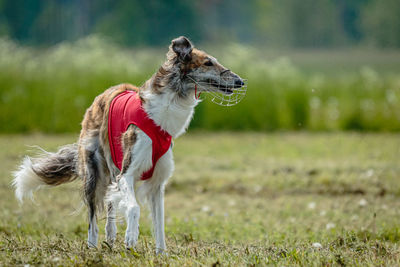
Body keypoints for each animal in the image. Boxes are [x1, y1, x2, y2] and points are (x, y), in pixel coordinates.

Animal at [12, 36, 245, 254]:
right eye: (208, 62)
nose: (241, 82)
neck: (161, 114)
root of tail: (101, 96)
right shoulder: (127, 173)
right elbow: (134, 208)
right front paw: (131, 238)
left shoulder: (157, 183)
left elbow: (159, 223)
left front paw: (161, 253)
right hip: (94, 172)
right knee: (93, 219)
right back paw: (93, 246)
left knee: (110, 207)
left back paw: (110, 239)